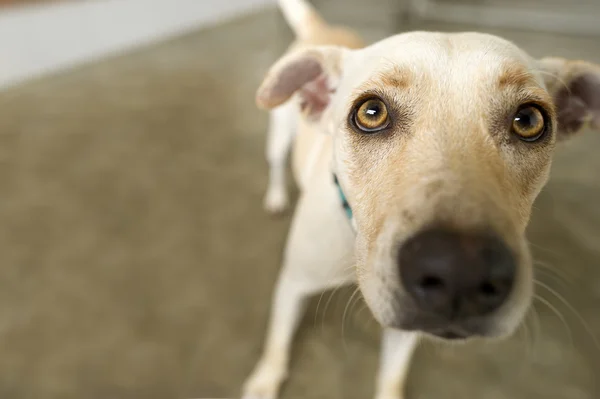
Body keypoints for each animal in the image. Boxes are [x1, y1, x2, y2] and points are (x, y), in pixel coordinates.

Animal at [241, 0, 596, 399]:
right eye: (371, 112)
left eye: (529, 120)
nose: (461, 273)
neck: (356, 241)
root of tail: (324, 31)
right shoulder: (292, 285)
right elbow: (277, 341)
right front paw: (265, 380)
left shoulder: (407, 332)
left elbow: (392, 374)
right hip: (278, 136)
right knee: (275, 163)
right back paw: (276, 197)